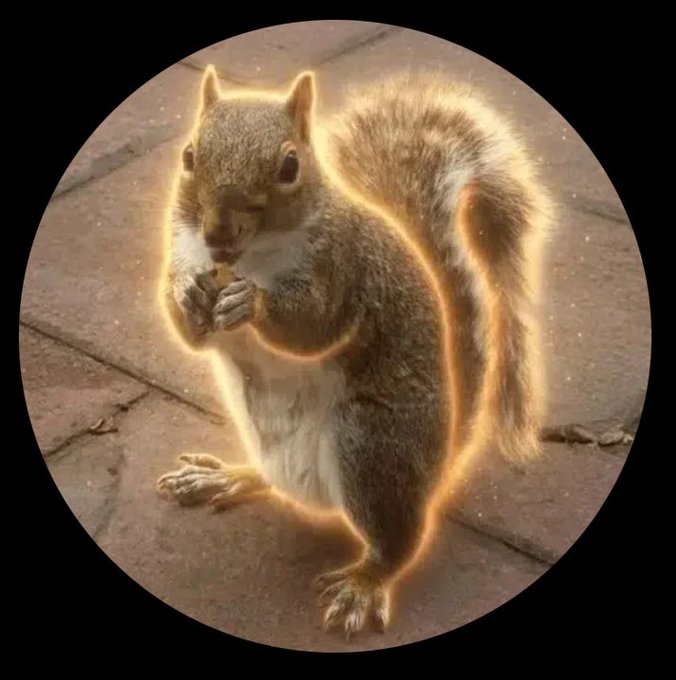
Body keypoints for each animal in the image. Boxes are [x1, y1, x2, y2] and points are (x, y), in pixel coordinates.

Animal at [156, 65, 551, 639]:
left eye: (289, 166)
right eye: (188, 156)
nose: (218, 233)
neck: (250, 257)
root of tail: (437, 469)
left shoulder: (340, 270)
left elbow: (312, 325)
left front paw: (252, 302)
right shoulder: (183, 246)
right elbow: (189, 326)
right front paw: (188, 294)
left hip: (370, 446)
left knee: (397, 542)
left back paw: (365, 584)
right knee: (274, 483)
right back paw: (224, 476)